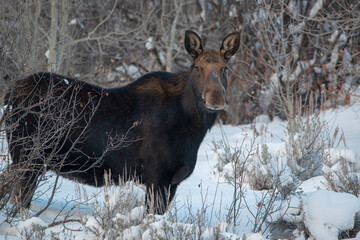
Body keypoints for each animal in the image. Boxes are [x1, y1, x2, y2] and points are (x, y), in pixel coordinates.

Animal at [3, 30, 239, 214]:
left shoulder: (171, 182)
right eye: (197, 68)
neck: (192, 130)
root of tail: (12, 92)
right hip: (26, 156)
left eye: (225, 68)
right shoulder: (156, 176)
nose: (216, 98)